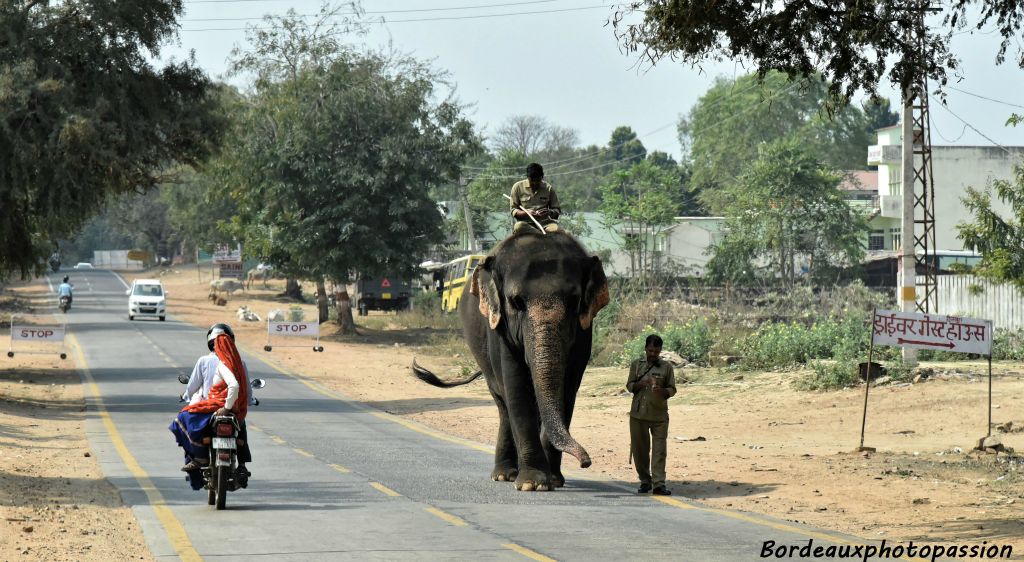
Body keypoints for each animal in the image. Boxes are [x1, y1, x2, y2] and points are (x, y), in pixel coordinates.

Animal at [415, 230, 606, 489]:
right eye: (516, 302)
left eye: (574, 300)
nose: (586, 462)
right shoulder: (499, 329)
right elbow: (517, 387)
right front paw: (532, 484)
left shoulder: (585, 331)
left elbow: (568, 388)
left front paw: (553, 480)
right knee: (503, 403)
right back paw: (505, 475)